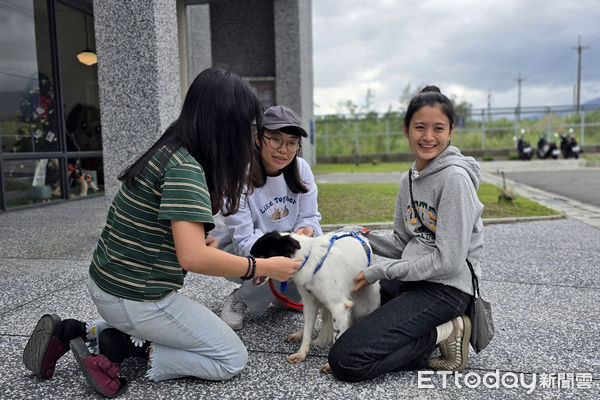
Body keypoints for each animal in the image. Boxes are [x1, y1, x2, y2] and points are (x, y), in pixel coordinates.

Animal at [248, 230, 380, 370]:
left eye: (261, 255)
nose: (247, 270)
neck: (309, 261)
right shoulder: (309, 304)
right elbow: (307, 332)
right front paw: (301, 353)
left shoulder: (339, 308)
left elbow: (336, 338)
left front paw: (330, 365)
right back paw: (298, 334)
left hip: (370, 300)